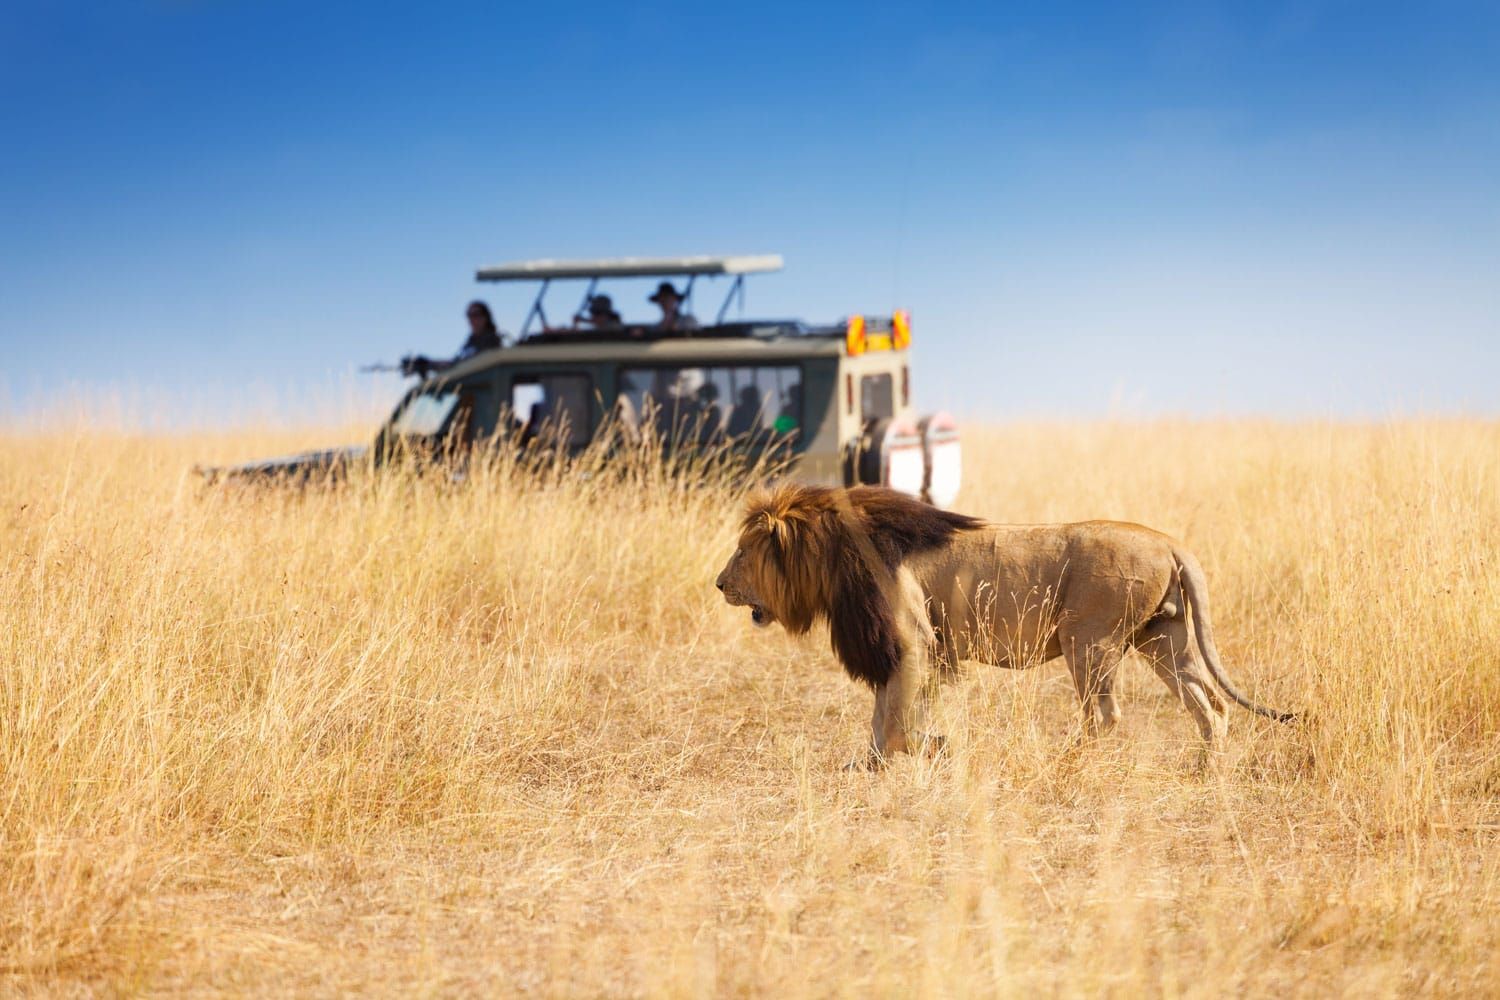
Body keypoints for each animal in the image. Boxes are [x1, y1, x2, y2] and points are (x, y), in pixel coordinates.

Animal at [715, 484, 1294, 766]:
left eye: (742, 551)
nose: (719, 584)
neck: (834, 555)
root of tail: (1169, 541)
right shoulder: (903, 650)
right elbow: (883, 719)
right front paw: (873, 764)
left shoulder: (913, 642)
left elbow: (897, 723)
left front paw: (935, 747)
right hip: (1162, 638)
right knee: (1211, 705)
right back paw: (1206, 770)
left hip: (1089, 639)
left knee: (1106, 714)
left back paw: (1065, 760)